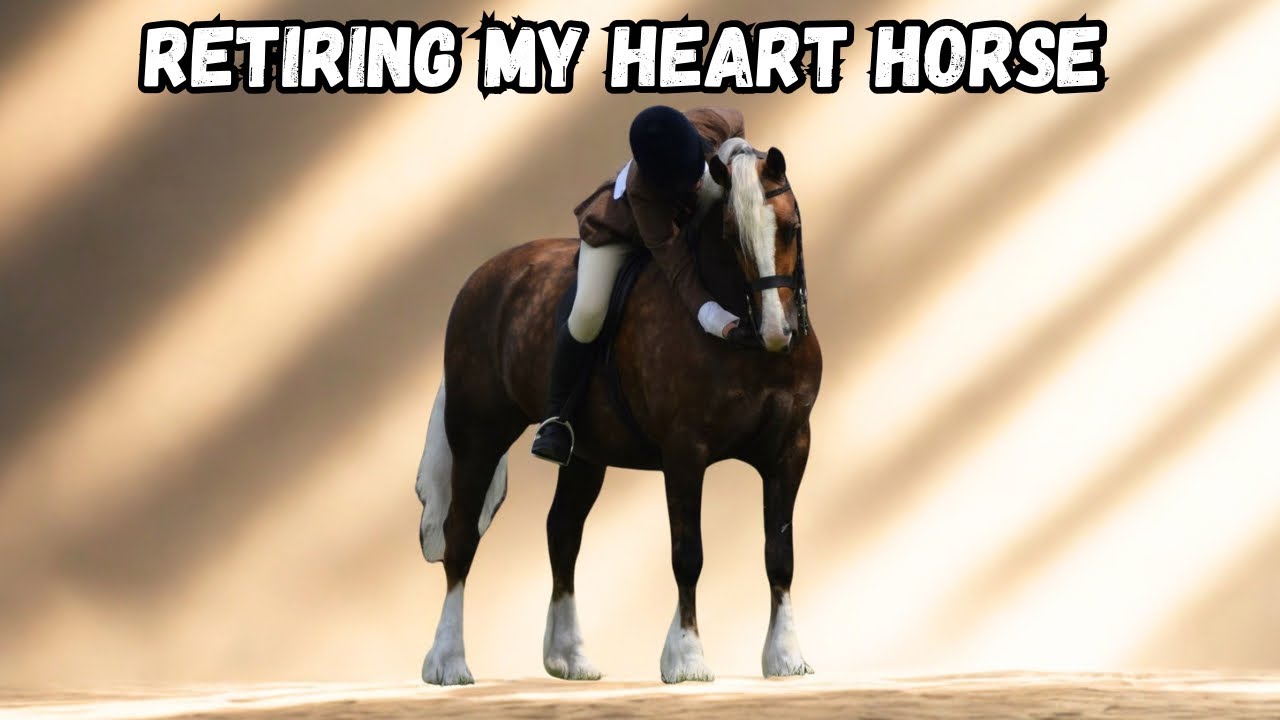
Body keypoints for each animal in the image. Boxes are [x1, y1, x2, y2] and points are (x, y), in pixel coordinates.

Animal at [414, 136, 822, 685]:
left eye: (791, 227)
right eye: (732, 238)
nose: (778, 331)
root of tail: (482, 278)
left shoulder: (789, 450)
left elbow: (780, 555)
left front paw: (785, 656)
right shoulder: (685, 452)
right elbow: (687, 555)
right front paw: (687, 658)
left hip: (584, 455)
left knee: (562, 532)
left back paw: (570, 657)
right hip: (479, 435)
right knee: (462, 537)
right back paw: (448, 662)